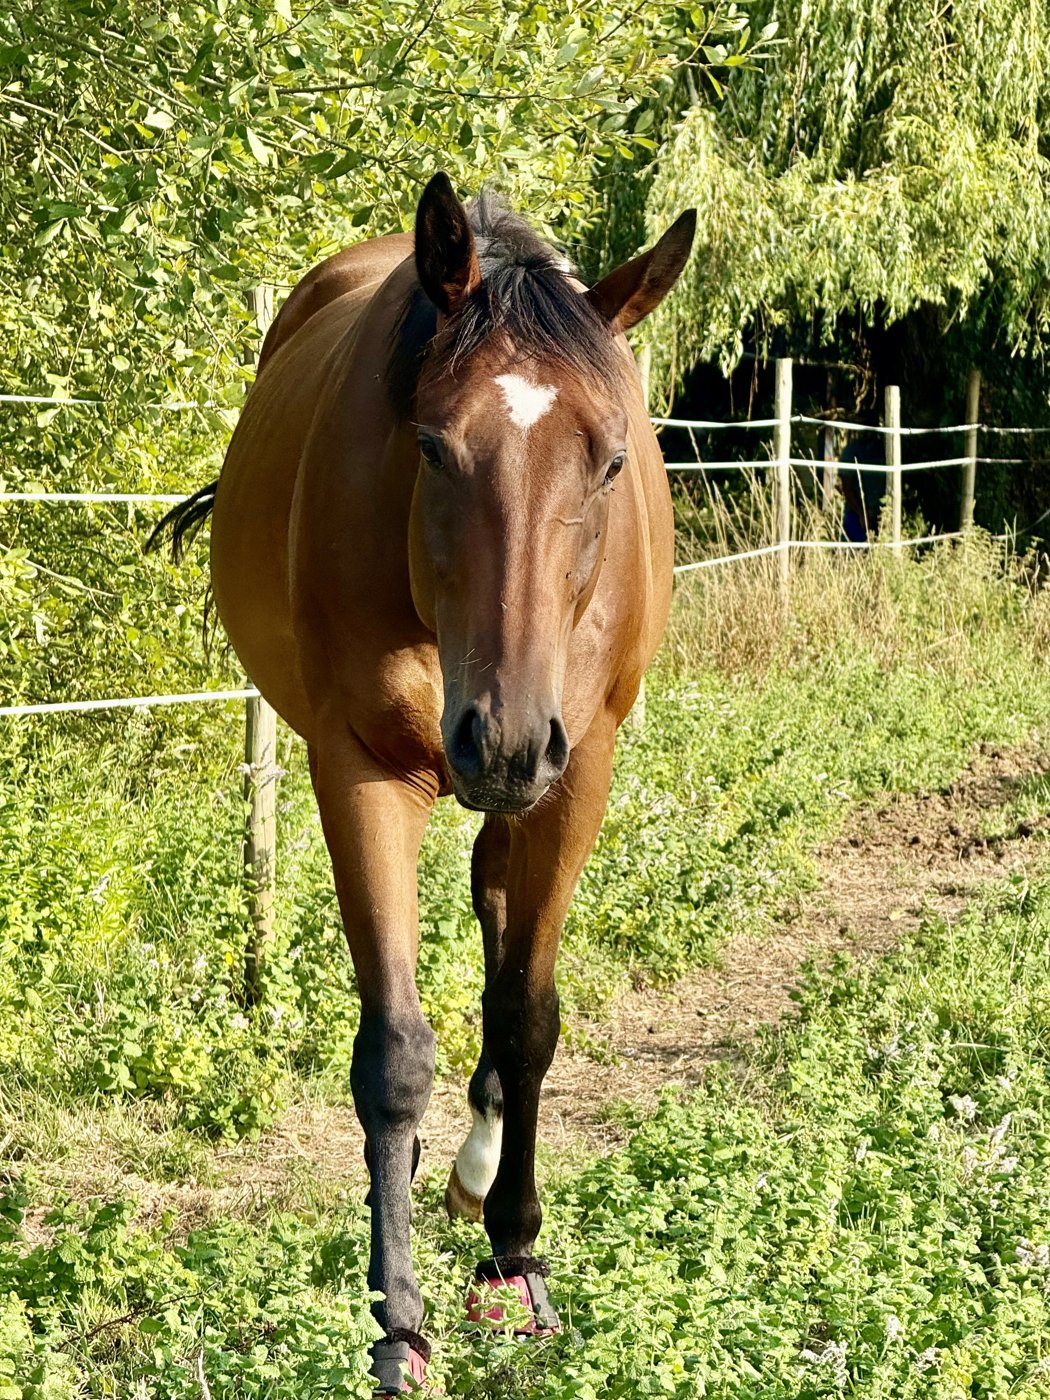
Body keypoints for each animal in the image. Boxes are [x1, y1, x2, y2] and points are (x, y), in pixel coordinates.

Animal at [152, 173, 695, 1394]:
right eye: (436, 447)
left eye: (610, 460)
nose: (502, 739)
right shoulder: (361, 766)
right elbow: (395, 1052)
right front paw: (397, 1322)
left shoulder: (577, 769)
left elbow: (529, 1015)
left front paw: (517, 1261)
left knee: (498, 916)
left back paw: (477, 1172)